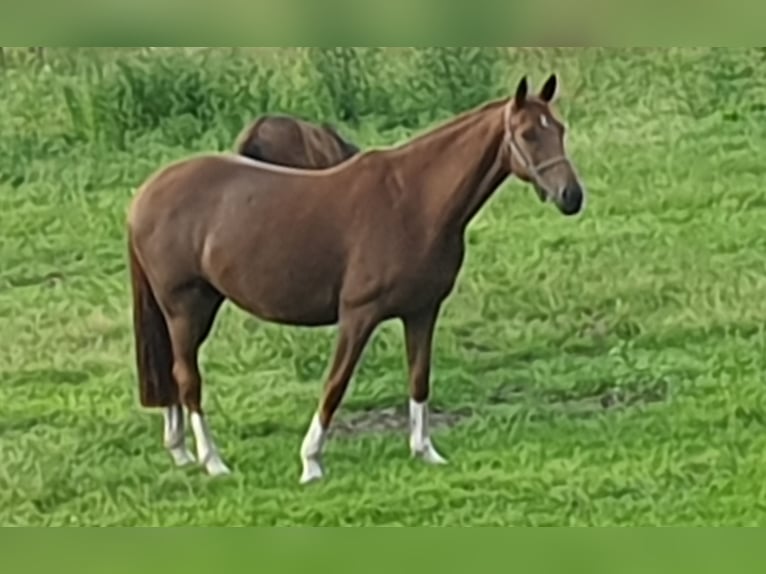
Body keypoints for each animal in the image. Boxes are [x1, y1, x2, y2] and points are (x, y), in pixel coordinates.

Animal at [130, 74, 588, 484]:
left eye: (559, 129)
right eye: (527, 134)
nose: (571, 196)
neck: (414, 202)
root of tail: (145, 194)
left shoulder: (422, 311)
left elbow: (419, 378)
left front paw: (425, 451)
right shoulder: (358, 315)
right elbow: (336, 383)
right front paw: (311, 462)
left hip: (199, 307)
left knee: (174, 372)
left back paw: (181, 452)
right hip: (185, 308)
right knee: (188, 378)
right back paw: (213, 461)